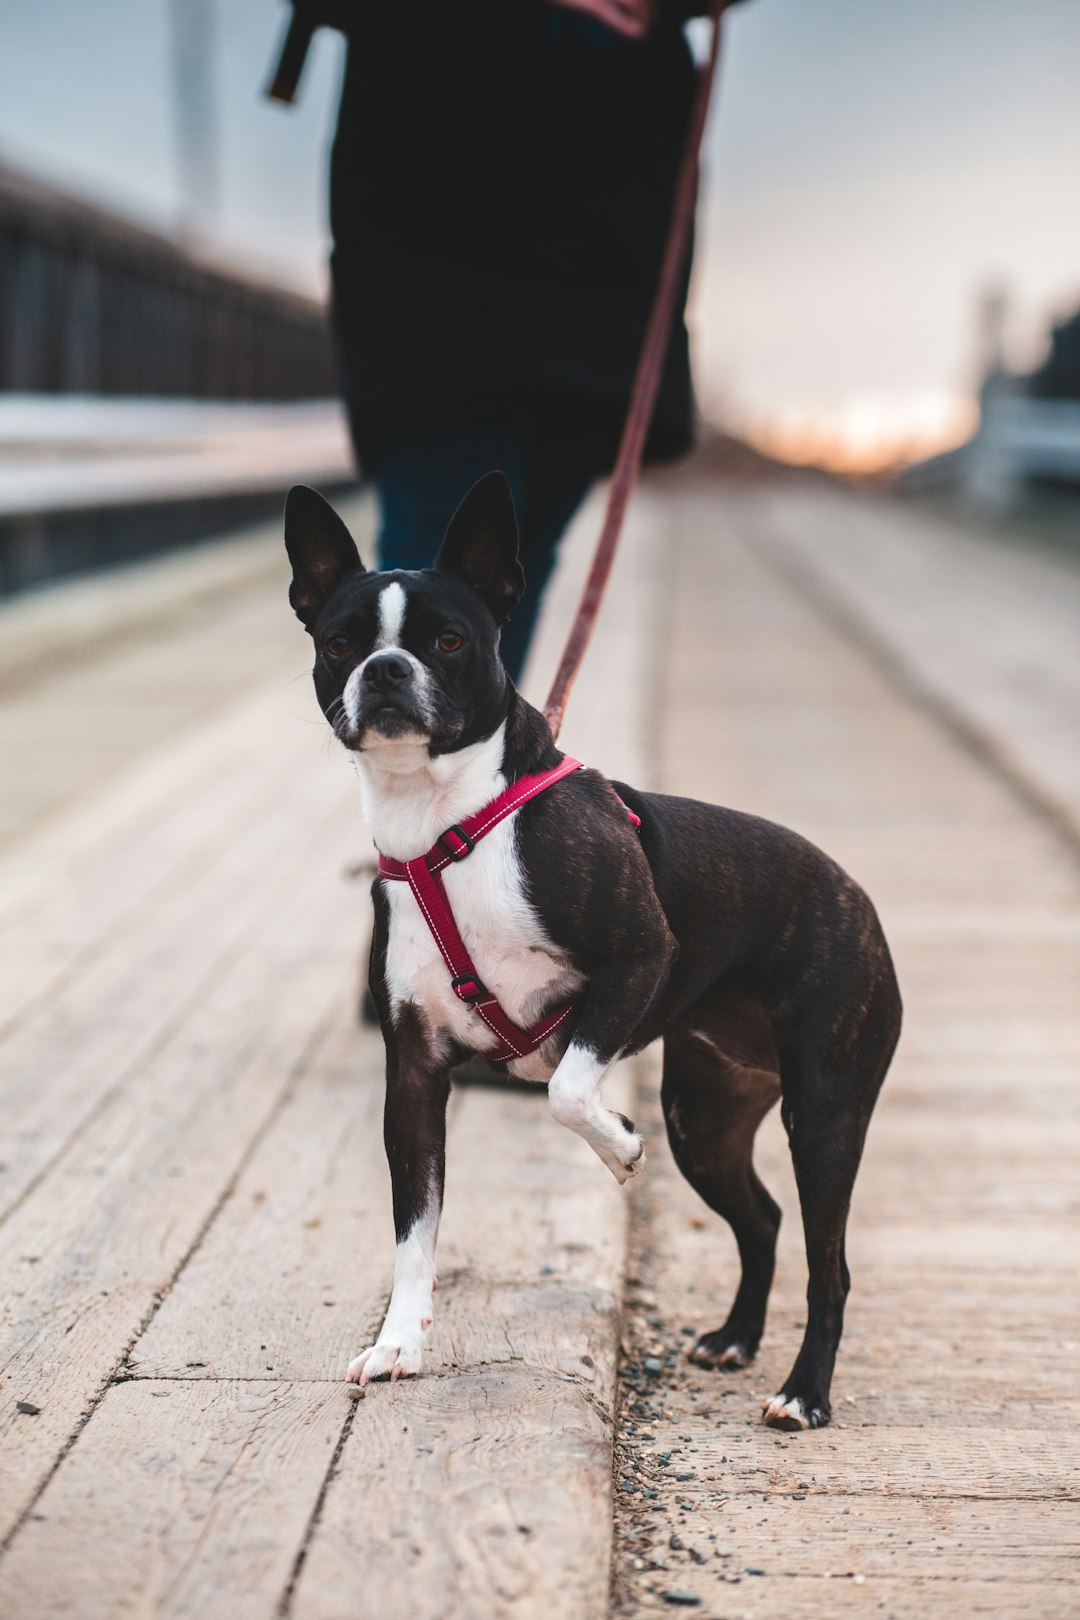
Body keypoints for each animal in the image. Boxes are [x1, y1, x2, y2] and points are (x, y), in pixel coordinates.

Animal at [286, 473, 906, 1432]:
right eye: (342, 642)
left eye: (449, 640)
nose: (386, 669)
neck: (445, 826)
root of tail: (857, 897)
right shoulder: (415, 1078)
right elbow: (414, 1235)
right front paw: (398, 1345)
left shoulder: (640, 961)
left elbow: (569, 1089)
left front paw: (617, 1144)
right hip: (706, 1118)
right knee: (762, 1220)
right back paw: (735, 1337)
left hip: (826, 1112)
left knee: (828, 1261)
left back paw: (803, 1394)